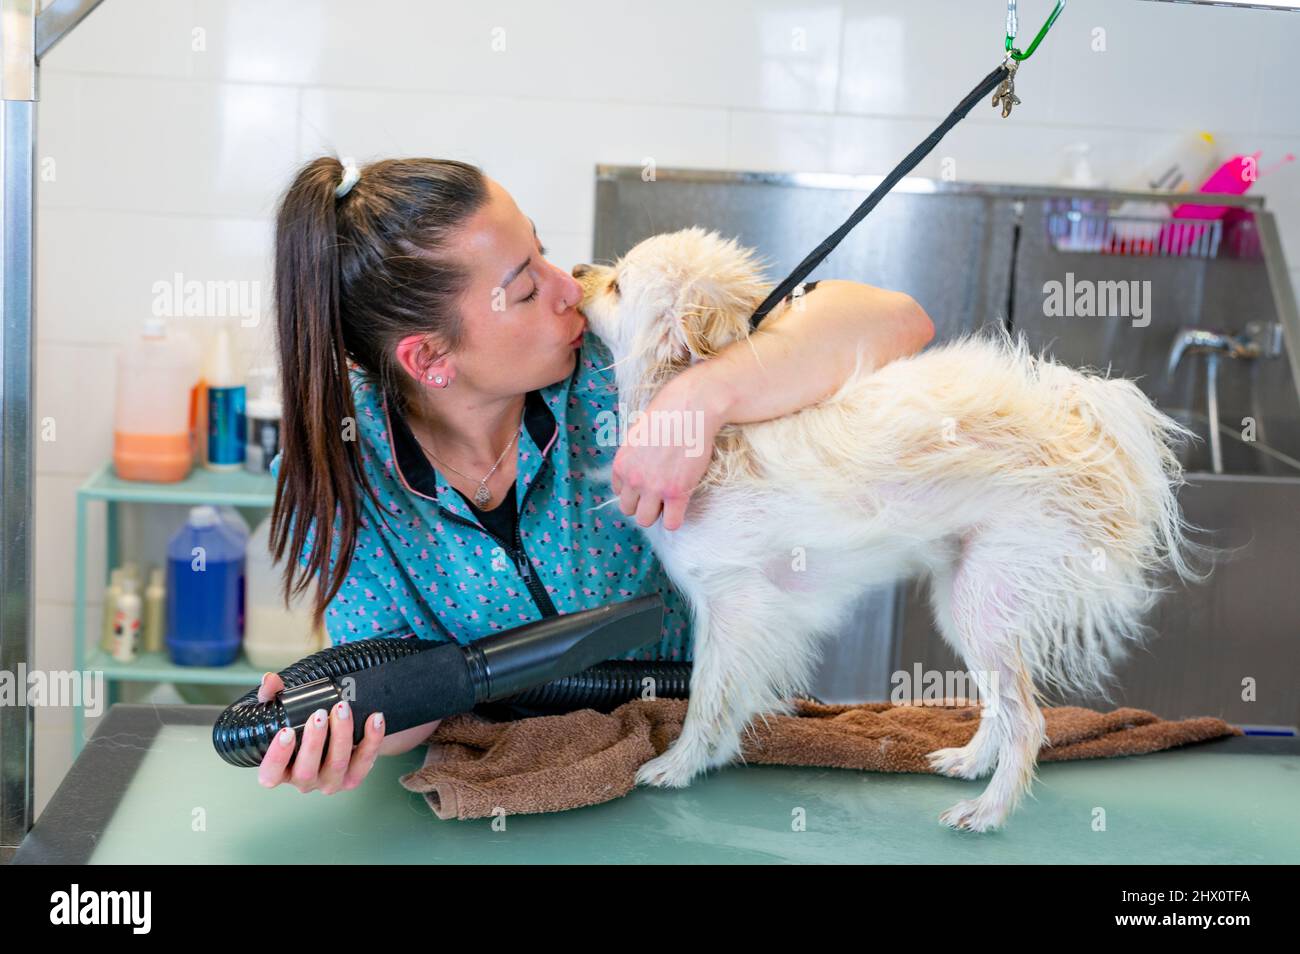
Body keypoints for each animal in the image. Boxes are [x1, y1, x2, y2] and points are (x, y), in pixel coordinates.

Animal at [574, 227, 1201, 831]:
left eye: (619, 286)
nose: (577, 270)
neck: (711, 434)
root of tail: (1078, 428)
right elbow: (729, 700)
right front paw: (707, 758)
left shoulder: (736, 607)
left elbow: (708, 697)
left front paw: (679, 764)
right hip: (966, 604)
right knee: (1001, 706)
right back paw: (970, 761)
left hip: (981, 603)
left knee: (1027, 719)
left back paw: (988, 811)